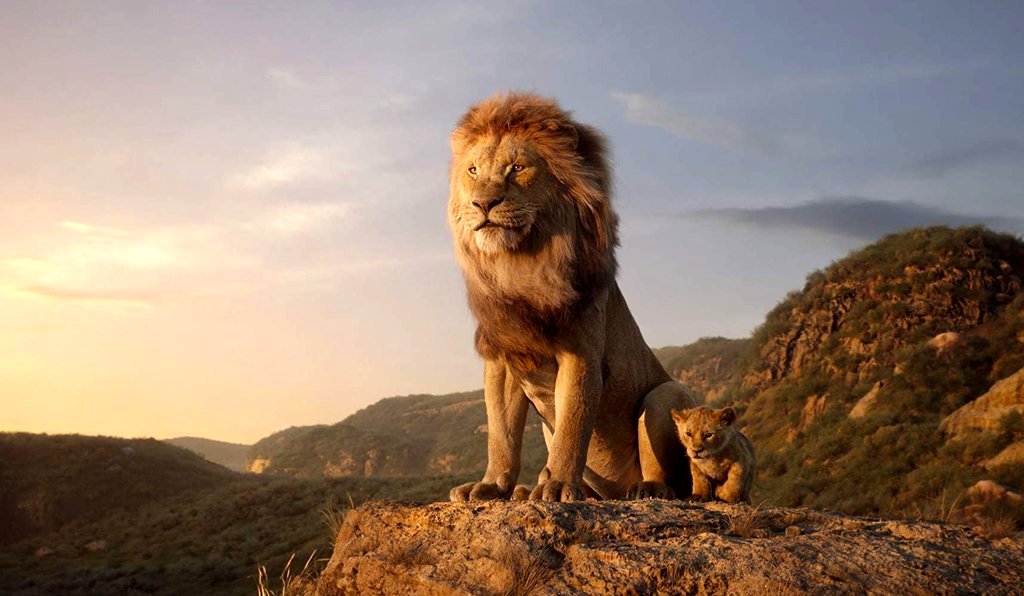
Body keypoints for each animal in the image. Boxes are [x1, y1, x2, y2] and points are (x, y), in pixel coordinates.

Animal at [446, 92, 698, 502]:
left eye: (517, 168)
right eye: (472, 171)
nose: (483, 204)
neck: (520, 265)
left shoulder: (581, 353)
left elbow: (572, 425)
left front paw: (560, 485)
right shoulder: (503, 357)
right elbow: (501, 433)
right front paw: (492, 485)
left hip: (666, 394)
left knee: (669, 476)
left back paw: (646, 489)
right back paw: (527, 490)